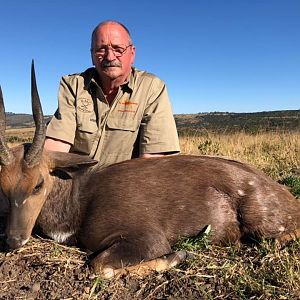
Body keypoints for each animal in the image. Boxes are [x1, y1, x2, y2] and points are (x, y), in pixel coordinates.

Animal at [0, 62, 300, 278]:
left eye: (38, 184)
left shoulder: (147, 239)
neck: (79, 199)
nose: (13, 240)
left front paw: (180, 255)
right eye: (3, 189)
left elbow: (100, 266)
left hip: (262, 223)